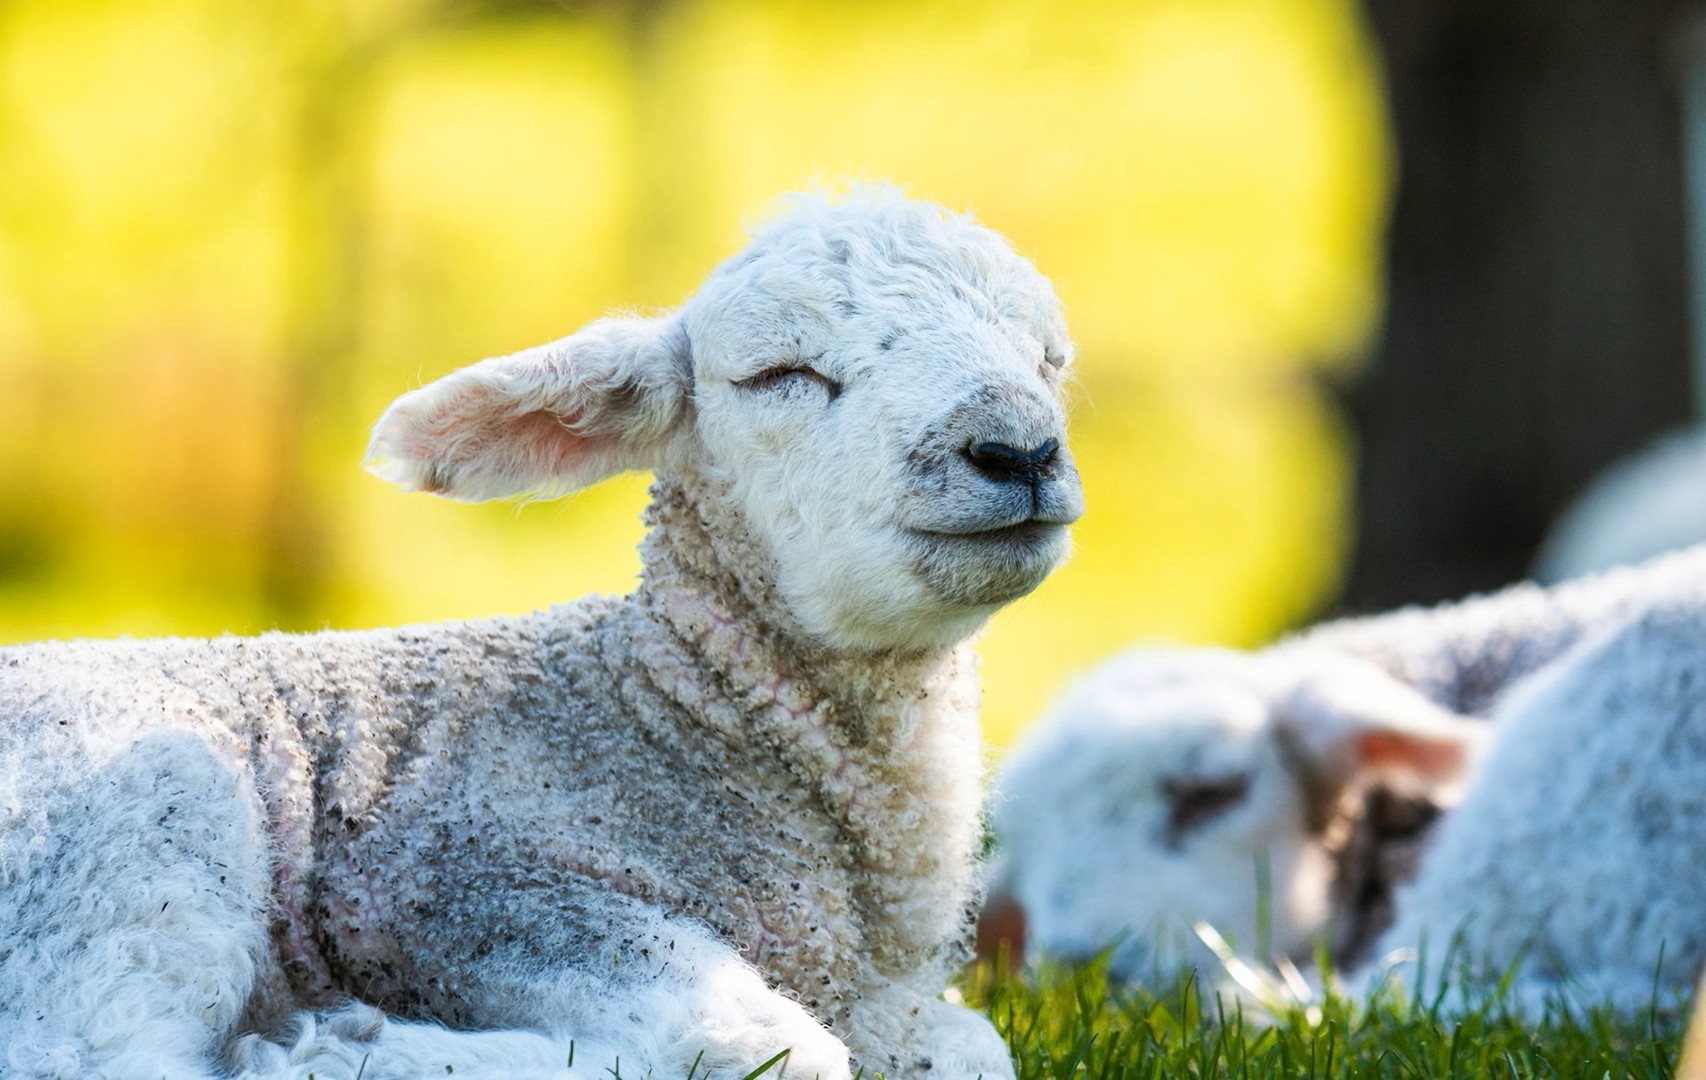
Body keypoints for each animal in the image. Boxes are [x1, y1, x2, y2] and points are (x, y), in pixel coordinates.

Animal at [0, 187, 1083, 1080]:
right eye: (780, 371)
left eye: (1047, 358)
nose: (1017, 449)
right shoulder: (442, 882)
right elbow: (771, 1046)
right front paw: (351, 1044)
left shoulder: (882, 995)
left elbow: (973, 1048)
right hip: (135, 819)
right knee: (94, 1057)